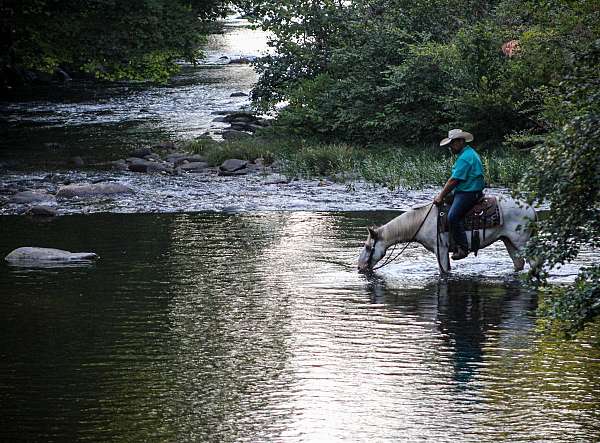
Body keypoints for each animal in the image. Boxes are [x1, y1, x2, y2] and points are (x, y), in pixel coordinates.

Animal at [358, 197, 536, 274]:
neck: (422, 221)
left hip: (522, 242)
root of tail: (532, 210)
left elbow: (443, 271)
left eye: (367, 246)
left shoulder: (441, 250)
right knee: (519, 263)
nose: (359, 268)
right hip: (509, 241)